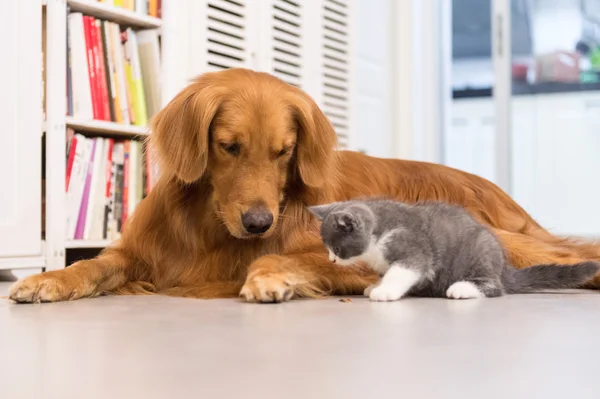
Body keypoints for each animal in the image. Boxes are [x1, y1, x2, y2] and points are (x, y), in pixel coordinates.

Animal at [310, 200, 600, 304]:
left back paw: (462, 289)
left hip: (480, 255)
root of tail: (503, 268)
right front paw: (376, 285)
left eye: (337, 248)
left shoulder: (413, 250)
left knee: (494, 288)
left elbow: (401, 272)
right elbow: (386, 273)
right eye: (327, 248)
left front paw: (384, 291)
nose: (331, 259)